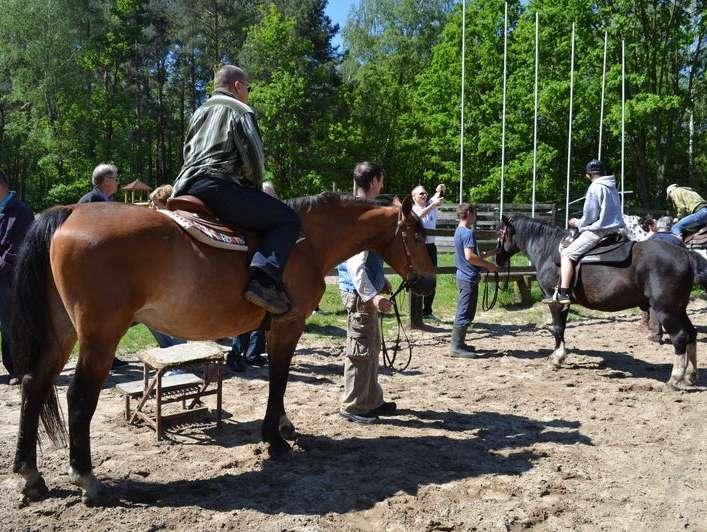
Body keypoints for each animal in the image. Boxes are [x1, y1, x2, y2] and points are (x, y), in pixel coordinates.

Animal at [9, 192, 432, 502]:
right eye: (416, 235)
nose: (428, 283)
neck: (308, 240)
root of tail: (68, 213)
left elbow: (280, 380)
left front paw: (283, 425)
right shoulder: (287, 325)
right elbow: (279, 378)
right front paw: (275, 438)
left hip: (62, 333)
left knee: (34, 385)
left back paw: (30, 475)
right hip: (100, 336)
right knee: (79, 397)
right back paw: (86, 478)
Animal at [496, 216, 704, 390]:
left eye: (500, 232)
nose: (497, 259)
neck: (549, 250)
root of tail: (686, 255)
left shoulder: (554, 300)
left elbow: (557, 328)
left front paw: (557, 358)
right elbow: (562, 327)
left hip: (666, 310)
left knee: (680, 337)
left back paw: (675, 379)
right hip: (679, 309)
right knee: (691, 334)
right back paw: (690, 376)